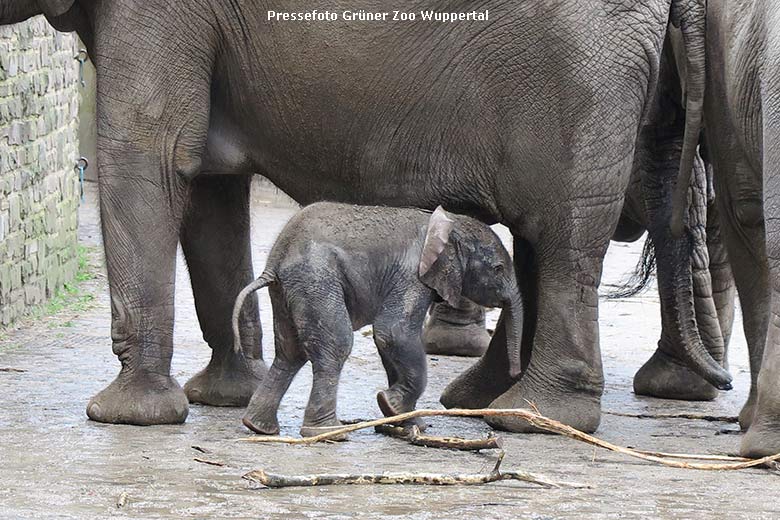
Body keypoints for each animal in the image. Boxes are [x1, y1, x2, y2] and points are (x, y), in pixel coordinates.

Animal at [235, 201, 520, 436]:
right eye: (498, 269)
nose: (515, 373)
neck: (450, 224)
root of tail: (274, 263)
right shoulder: (412, 275)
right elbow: (393, 333)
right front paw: (391, 406)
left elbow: (389, 343)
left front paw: (406, 422)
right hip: (316, 279)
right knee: (335, 345)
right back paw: (329, 433)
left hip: (289, 290)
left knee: (290, 352)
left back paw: (258, 427)